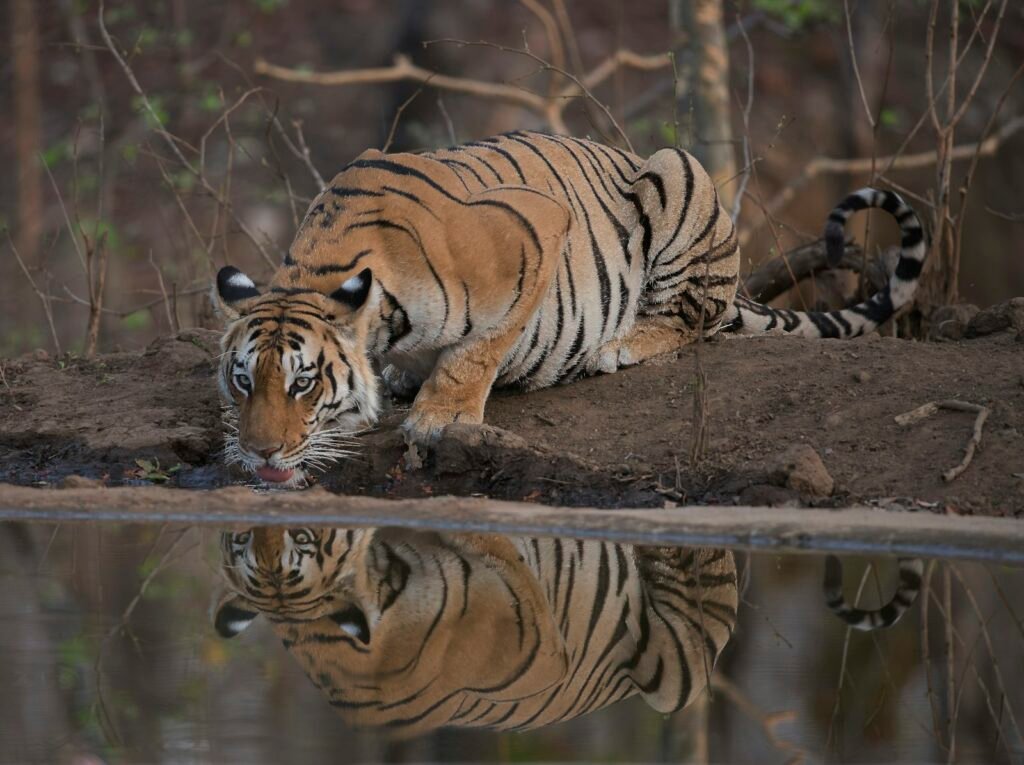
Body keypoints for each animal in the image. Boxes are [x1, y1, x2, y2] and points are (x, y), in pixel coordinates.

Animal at [213, 131, 927, 484]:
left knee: (694, 317)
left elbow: (479, 350)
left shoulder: (534, 229)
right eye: (243, 381)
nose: (259, 454)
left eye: (303, 383)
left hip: (678, 173)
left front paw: (439, 417)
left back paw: (620, 345)